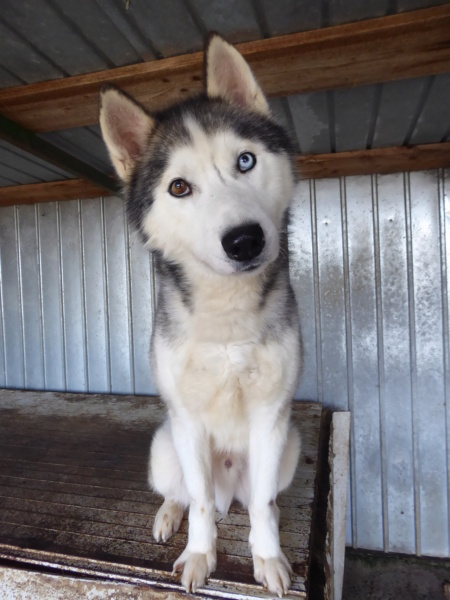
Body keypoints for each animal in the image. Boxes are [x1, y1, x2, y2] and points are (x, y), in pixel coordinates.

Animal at [99, 35, 302, 596]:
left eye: (246, 161)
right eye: (179, 187)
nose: (245, 239)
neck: (226, 314)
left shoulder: (271, 418)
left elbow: (262, 508)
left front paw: (268, 558)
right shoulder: (186, 422)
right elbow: (201, 505)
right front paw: (198, 554)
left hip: (290, 446)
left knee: (254, 501)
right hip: (163, 446)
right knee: (190, 494)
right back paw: (171, 515)